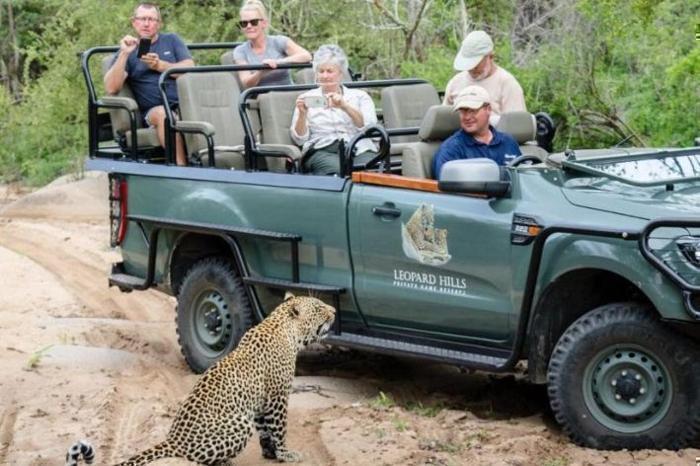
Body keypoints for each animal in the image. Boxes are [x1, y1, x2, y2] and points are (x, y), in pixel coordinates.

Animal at [66, 293, 335, 466]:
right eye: (319, 307)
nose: (334, 311)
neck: (285, 329)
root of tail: (173, 440)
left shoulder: (260, 400)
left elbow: (265, 429)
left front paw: (270, 453)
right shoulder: (278, 396)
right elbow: (278, 429)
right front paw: (285, 454)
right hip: (239, 424)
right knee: (196, 459)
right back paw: (225, 462)